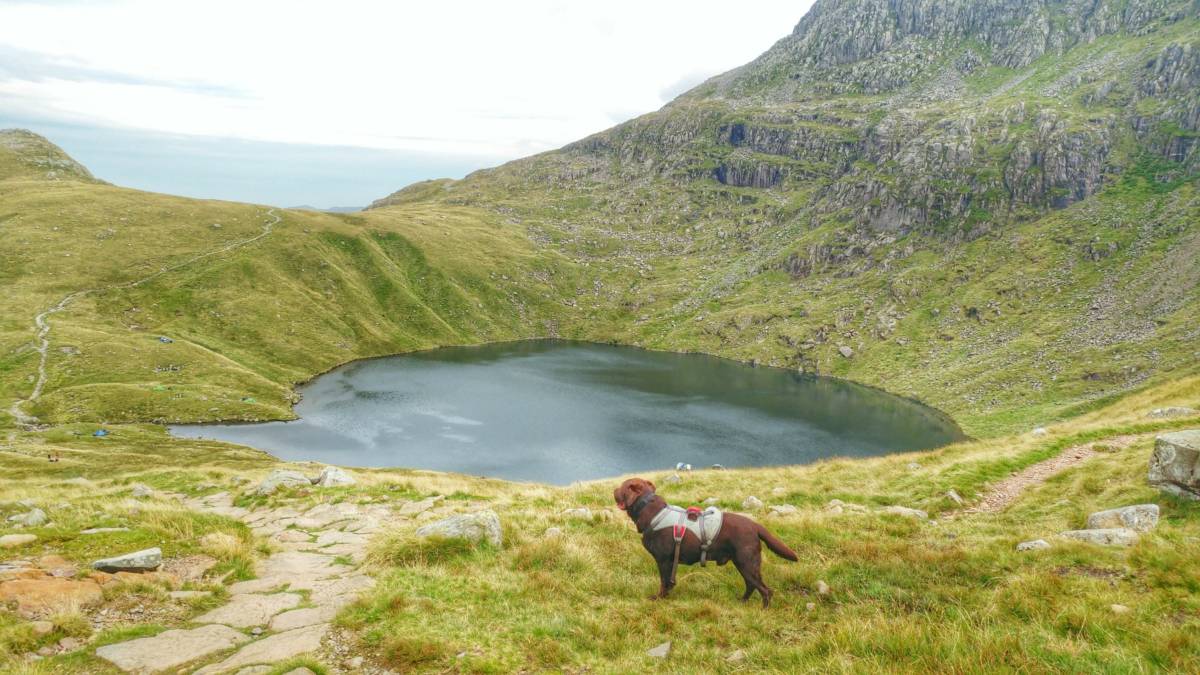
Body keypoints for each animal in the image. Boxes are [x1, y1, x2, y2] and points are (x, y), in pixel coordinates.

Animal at [614, 473, 801, 605]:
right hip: (743, 564)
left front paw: (659, 598)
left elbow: (664, 582)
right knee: (751, 586)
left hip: (747, 563)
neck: (648, 507)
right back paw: (742, 601)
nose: (613, 490)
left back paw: (763, 610)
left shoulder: (664, 560)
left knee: (765, 590)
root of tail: (755, 525)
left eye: (621, 487)